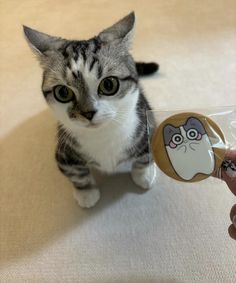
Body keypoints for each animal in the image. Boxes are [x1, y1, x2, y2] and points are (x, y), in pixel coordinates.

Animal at [23, 11, 159, 209]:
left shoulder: (148, 127)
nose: (88, 113)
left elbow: (145, 157)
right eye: (63, 92)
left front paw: (144, 175)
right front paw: (86, 194)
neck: (102, 136)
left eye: (109, 85)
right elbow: (78, 175)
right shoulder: (64, 155)